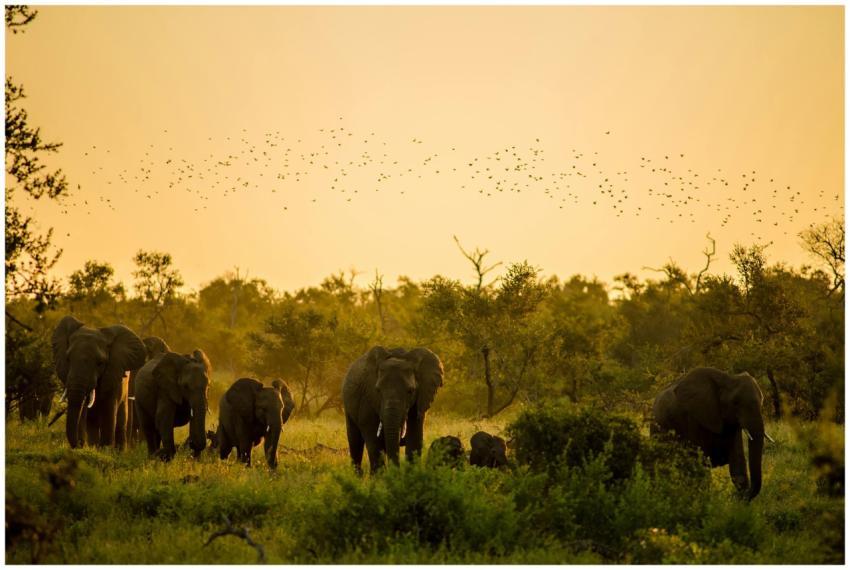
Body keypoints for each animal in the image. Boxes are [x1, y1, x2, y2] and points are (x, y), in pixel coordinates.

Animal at [51, 316, 147, 449]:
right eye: (68, 359)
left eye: (100, 363)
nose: (78, 445)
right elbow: (83, 413)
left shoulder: (112, 374)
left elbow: (109, 412)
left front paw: (106, 449)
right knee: (93, 423)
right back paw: (94, 446)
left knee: (120, 421)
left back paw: (118, 450)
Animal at [651, 367, 769, 500]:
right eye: (735, 403)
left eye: (762, 400)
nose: (736, 497)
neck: (728, 378)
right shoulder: (690, 419)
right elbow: (699, 468)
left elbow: (737, 465)